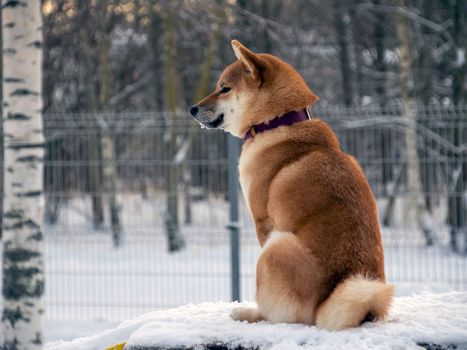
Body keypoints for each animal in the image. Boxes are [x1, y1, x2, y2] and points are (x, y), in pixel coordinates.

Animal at [190, 39, 394, 330]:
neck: (277, 122)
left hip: (277, 246)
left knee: (279, 315)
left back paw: (249, 313)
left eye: (224, 88)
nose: (192, 109)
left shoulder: (263, 222)